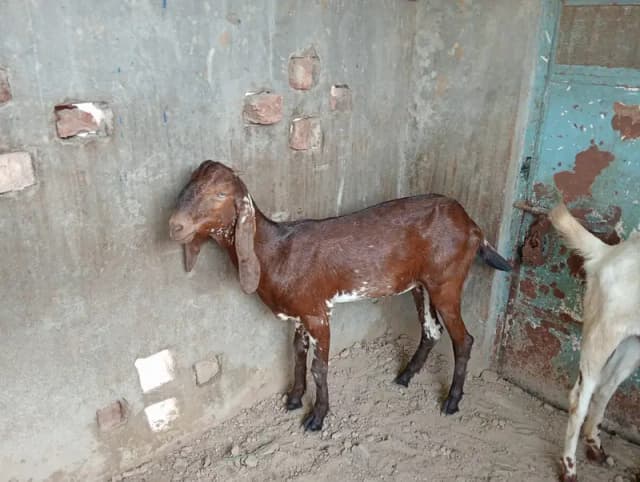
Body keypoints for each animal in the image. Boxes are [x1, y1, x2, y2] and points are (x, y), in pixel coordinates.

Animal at [169, 160, 512, 431]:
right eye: (187, 187)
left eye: (220, 195)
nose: (175, 226)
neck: (275, 252)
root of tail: (472, 225)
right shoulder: (300, 313)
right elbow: (297, 353)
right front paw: (293, 399)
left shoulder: (318, 313)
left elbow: (319, 367)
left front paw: (317, 417)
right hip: (420, 284)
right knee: (431, 330)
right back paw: (405, 376)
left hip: (447, 282)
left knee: (463, 339)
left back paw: (451, 401)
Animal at [549, 202, 640, 482]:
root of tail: (606, 254)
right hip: (601, 333)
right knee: (580, 397)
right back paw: (569, 467)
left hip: (631, 343)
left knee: (605, 388)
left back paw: (595, 448)